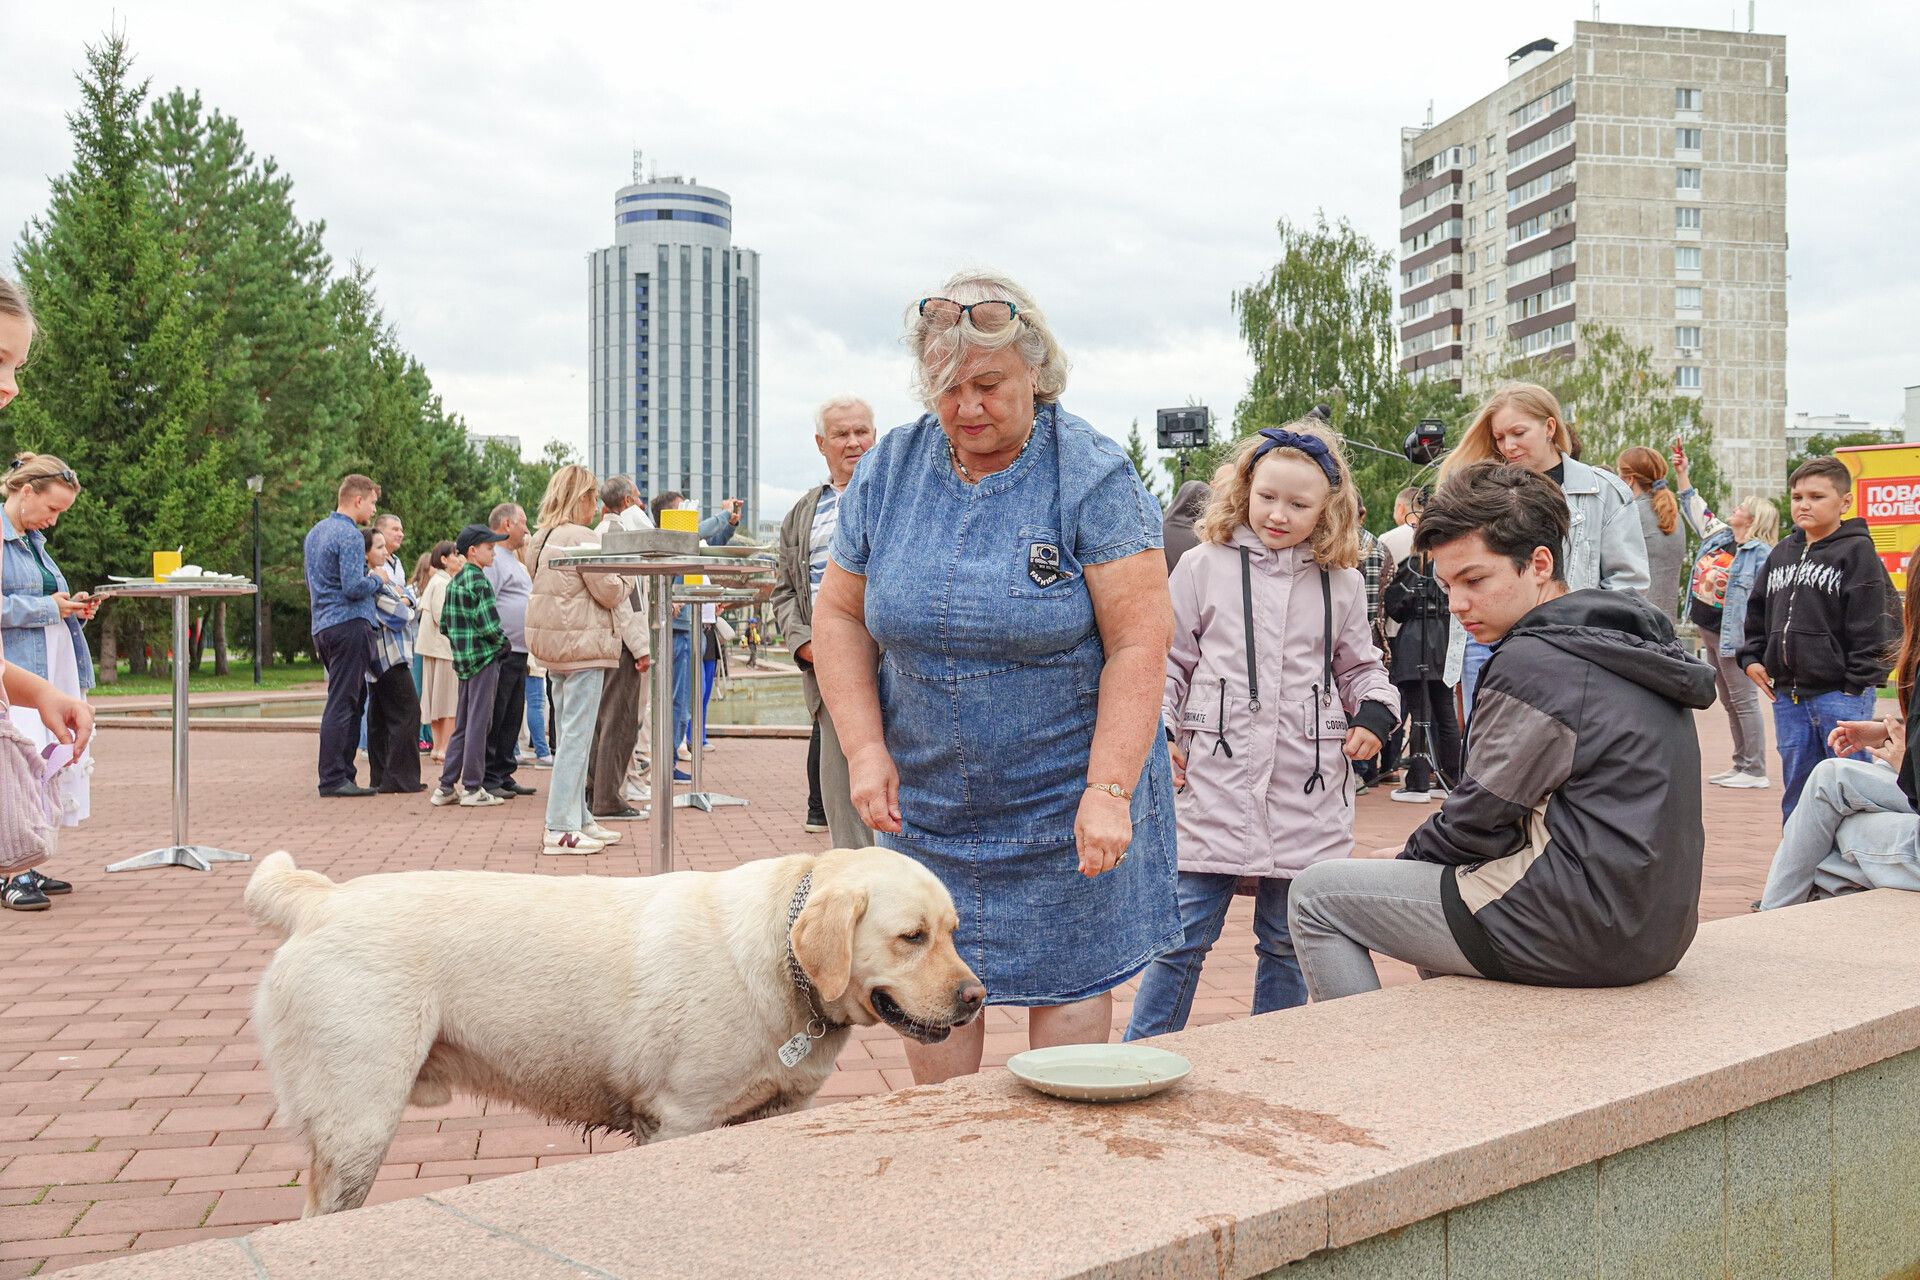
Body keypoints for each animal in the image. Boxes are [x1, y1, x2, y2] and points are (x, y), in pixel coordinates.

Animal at [245, 844, 983, 1220]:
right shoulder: (680, 1118)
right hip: (358, 1123)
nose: (977, 998)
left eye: (953, 932)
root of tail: (320, 898)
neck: (781, 958)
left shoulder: (783, 1111)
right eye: (911, 937)